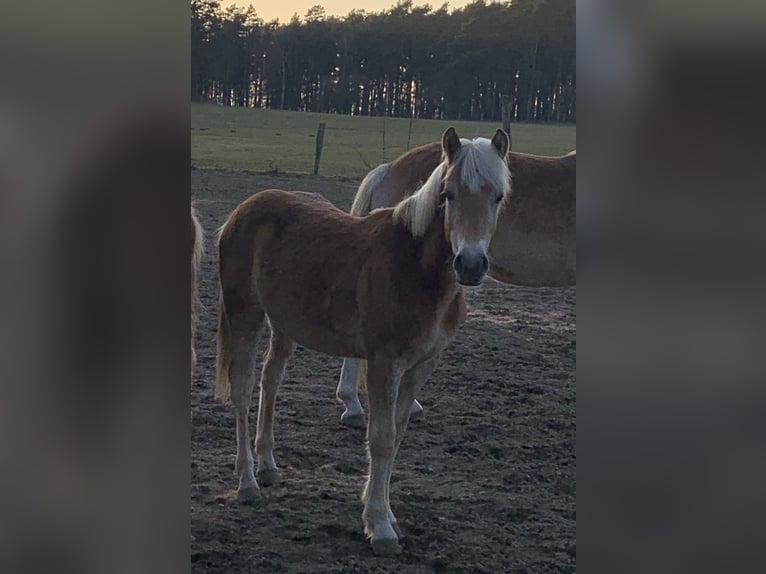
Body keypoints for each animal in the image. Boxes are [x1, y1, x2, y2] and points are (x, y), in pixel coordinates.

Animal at [214, 127, 510, 560]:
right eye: (448, 193)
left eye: (498, 196)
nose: (470, 265)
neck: (416, 269)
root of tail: (243, 209)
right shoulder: (384, 363)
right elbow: (381, 439)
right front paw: (379, 526)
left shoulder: (422, 365)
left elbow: (397, 435)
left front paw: (385, 512)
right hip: (244, 315)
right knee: (243, 389)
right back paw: (248, 483)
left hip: (284, 324)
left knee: (271, 381)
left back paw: (268, 466)